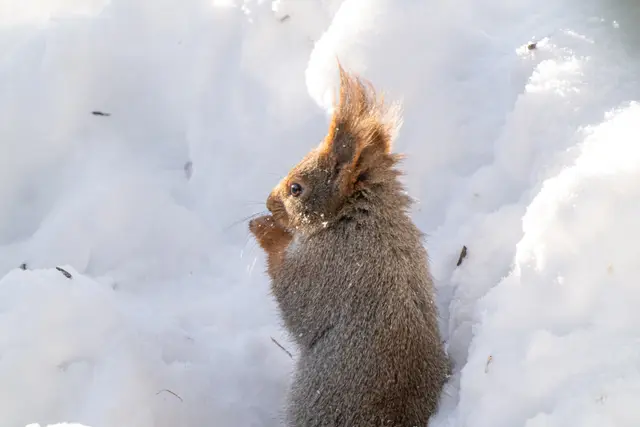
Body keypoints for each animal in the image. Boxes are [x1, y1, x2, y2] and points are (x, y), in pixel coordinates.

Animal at [249, 63, 449, 427]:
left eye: (296, 188)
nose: (269, 202)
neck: (365, 219)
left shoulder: (331, 268)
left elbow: (294, 302)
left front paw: (266, 230)